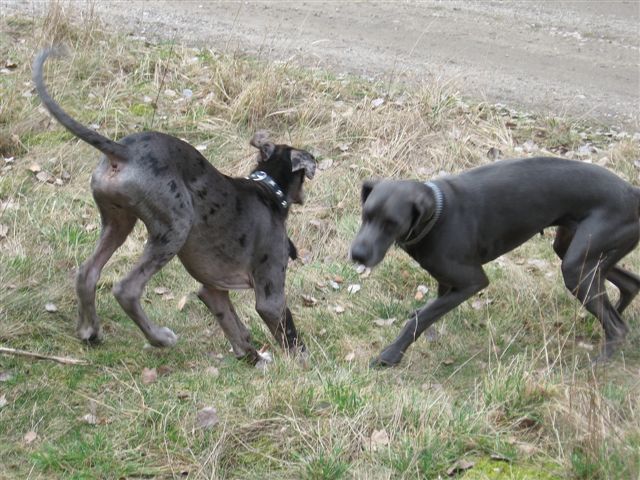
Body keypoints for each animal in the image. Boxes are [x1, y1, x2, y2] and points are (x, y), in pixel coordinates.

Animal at [32, 48, 318, 364]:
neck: (268, 188)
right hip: (176, 227)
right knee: (127, 289)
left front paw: (252, 359)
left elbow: (234, 328)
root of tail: (125, 151)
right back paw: (160, 338)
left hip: (118, 222)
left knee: (87, 272)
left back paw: (89, 331)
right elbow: (290, 337)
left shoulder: (212, 291)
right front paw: (302, 365)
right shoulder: (271, 294)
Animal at [350, 158, 640, 368]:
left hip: (576, 264)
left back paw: (600, 363)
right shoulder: (446, 281)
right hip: (576, 252)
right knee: (628, 286)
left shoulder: (472, 282)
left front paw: (391, 354)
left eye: (392, 224)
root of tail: (633, 193)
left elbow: (422, 318)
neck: (437, 215)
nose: (357, 255)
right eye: (365, 215)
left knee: (617, 326)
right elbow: (431, 311)